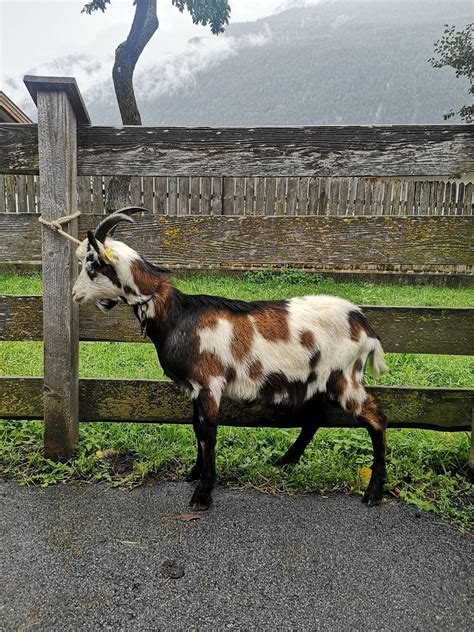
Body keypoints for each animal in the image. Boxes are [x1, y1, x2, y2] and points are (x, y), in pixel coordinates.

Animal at [71, 210, 388, 512]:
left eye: (91, 265)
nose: (74, 294)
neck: (178, 314)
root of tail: (363, 324)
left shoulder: (209, 384)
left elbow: (208, 433)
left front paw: (203, 494)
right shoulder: (195, 388)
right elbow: (196, 428)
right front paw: (194, 473)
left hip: (344, 376)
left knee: (376, 420)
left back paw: (373, 493)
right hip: (318, 379)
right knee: (314, 418)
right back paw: (285, 461)